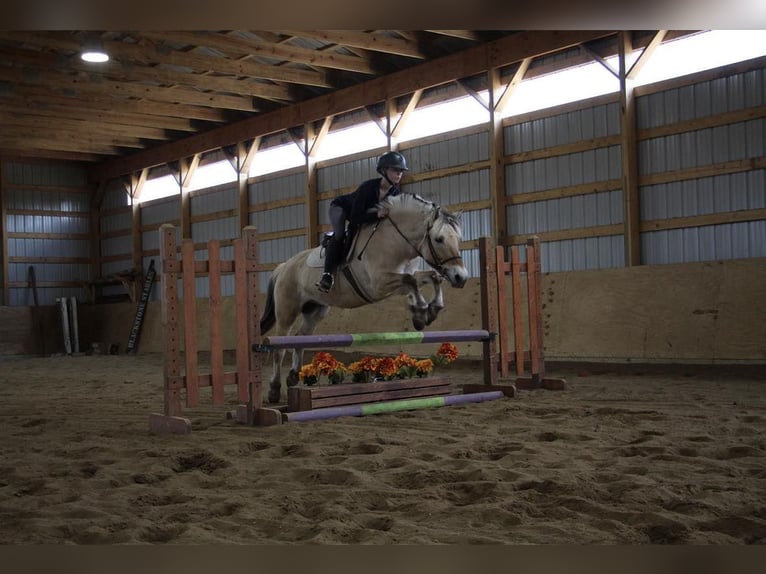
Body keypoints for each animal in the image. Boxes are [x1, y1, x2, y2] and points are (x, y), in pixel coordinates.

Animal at [260, 194, 472, 404]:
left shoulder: (399, 280)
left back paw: (293, 376)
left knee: (301, 338)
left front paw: (429, 312)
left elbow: (429, 278)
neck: (395, 242)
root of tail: (283, 266)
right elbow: (410, 281)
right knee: (280, 348)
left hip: (315, 309)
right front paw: (420, 313)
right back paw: (274, 390)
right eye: (439, 239)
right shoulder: (379, 285)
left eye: (458, 238)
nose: (460, 277)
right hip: (287, 311)